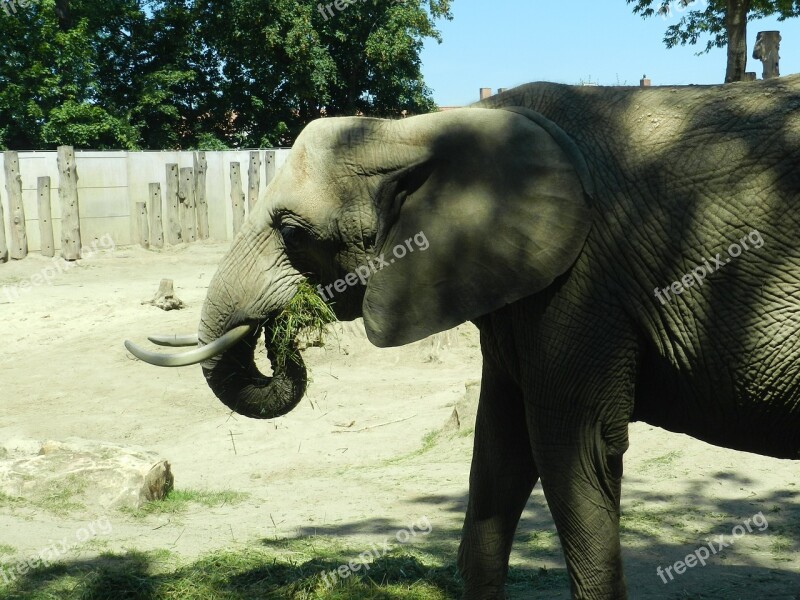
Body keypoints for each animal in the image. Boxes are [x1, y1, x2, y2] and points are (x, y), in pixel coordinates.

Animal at [125, 72, 800, 596]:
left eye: (292, 232)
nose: (288, 327)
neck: (423, 130)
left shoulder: (582, 284)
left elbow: (571, 444)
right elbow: (499, 445)